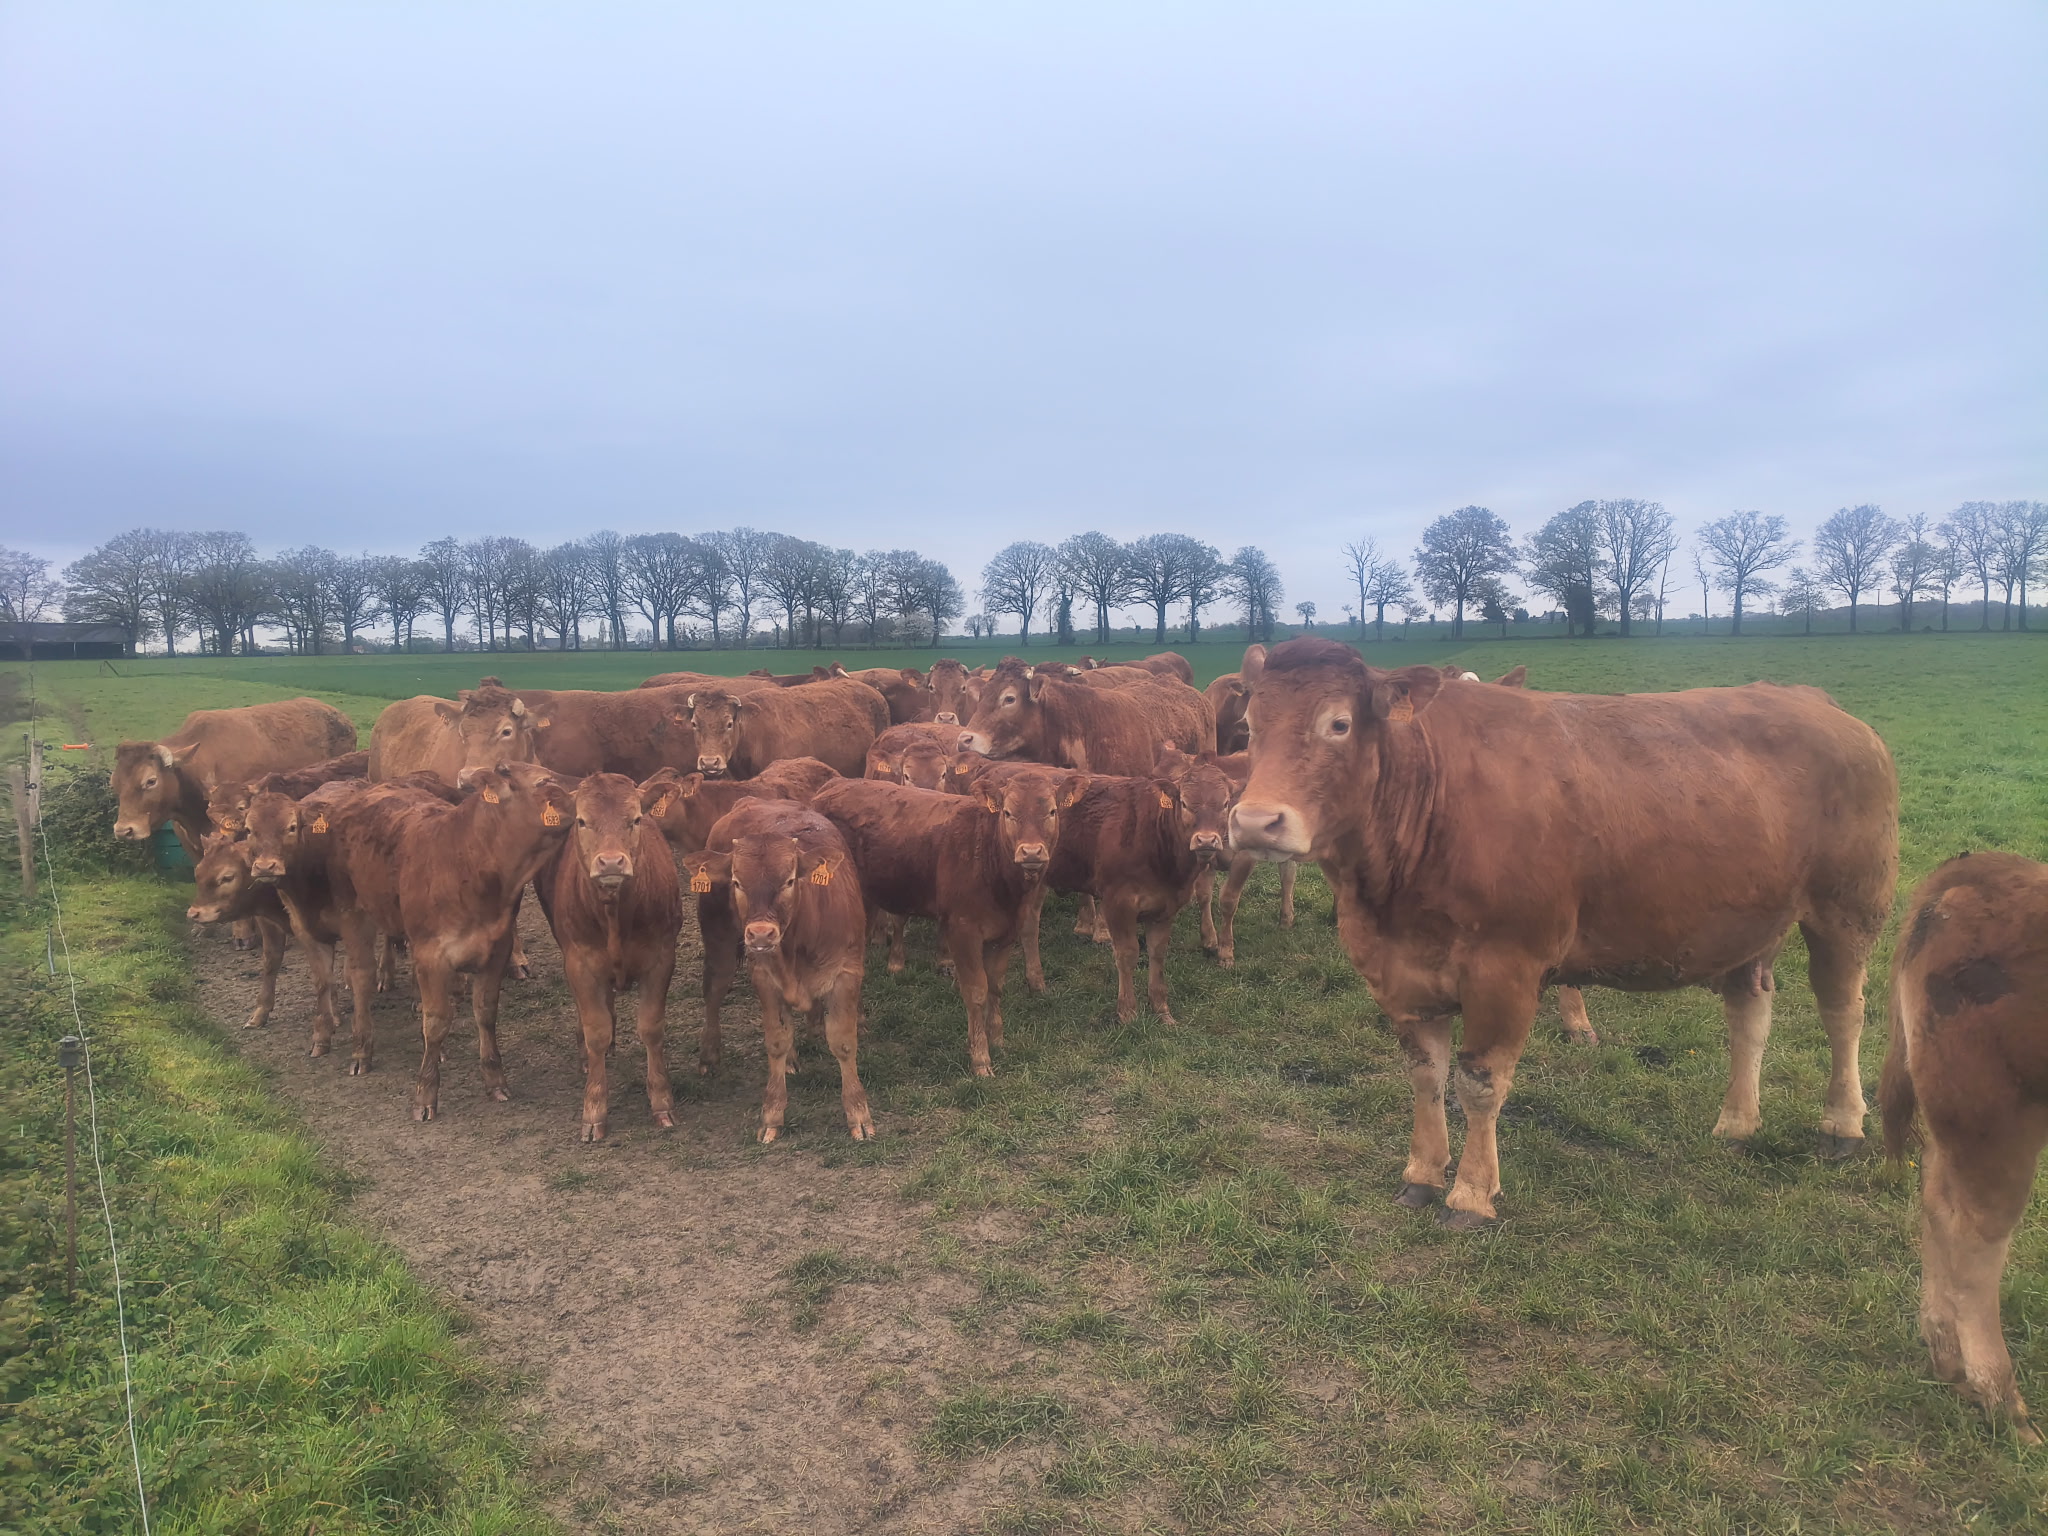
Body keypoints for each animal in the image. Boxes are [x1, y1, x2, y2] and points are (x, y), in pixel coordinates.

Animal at [327, 761, 575, 1118]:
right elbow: (437, 1021)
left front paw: (495, 1080)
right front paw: (426, 1093)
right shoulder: (432, 955)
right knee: (361, 976)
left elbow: (485, 1012)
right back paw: (362, 1050)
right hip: (353, 911)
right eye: (544, 781)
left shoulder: (496, 950)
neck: (467, 860)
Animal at [535, 773, 682, 1142]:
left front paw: (662, 1103)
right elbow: (596, 1031)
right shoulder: (579, 963)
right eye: (582, 820)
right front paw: (594, 1110)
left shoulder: (661, 958)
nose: (612, 862)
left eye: (637, 819)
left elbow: (651, 1028)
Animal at [685, 799, 874, 1142]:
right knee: (714, 992)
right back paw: (709, 1054)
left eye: (789, 880)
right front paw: (772, 1114)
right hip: (719, 942)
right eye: (736, 882)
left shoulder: (846, 974)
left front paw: (858, 1113)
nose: (761, 934)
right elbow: (776, 1041)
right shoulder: (764, 977)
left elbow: (843, 1042)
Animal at [815, 767, 1085, 1077]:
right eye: (1007, 812)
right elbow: (977, 991)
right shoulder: (962, 930)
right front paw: (981, 1058)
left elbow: (996, 985)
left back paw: (858, 1021)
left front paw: (998, 1039)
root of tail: (835, 784)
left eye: (1052, 811)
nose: (1030, 852)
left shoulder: (1006, 932)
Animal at [1228, 637, 1898, 1228]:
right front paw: (1421, 1175)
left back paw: (1842, 1125)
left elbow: (1479, 1082)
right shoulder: (1398, 972)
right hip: (1749, 922)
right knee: (1750, 1014)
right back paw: (1737, 1124)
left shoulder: (1506, 968)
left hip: (1849, 907)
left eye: (1338, 724)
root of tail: (1812, 700)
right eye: (1251, 724)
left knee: (1843, 1012)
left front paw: (1471, 1195)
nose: (1256, 822)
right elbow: (1425, 1074)